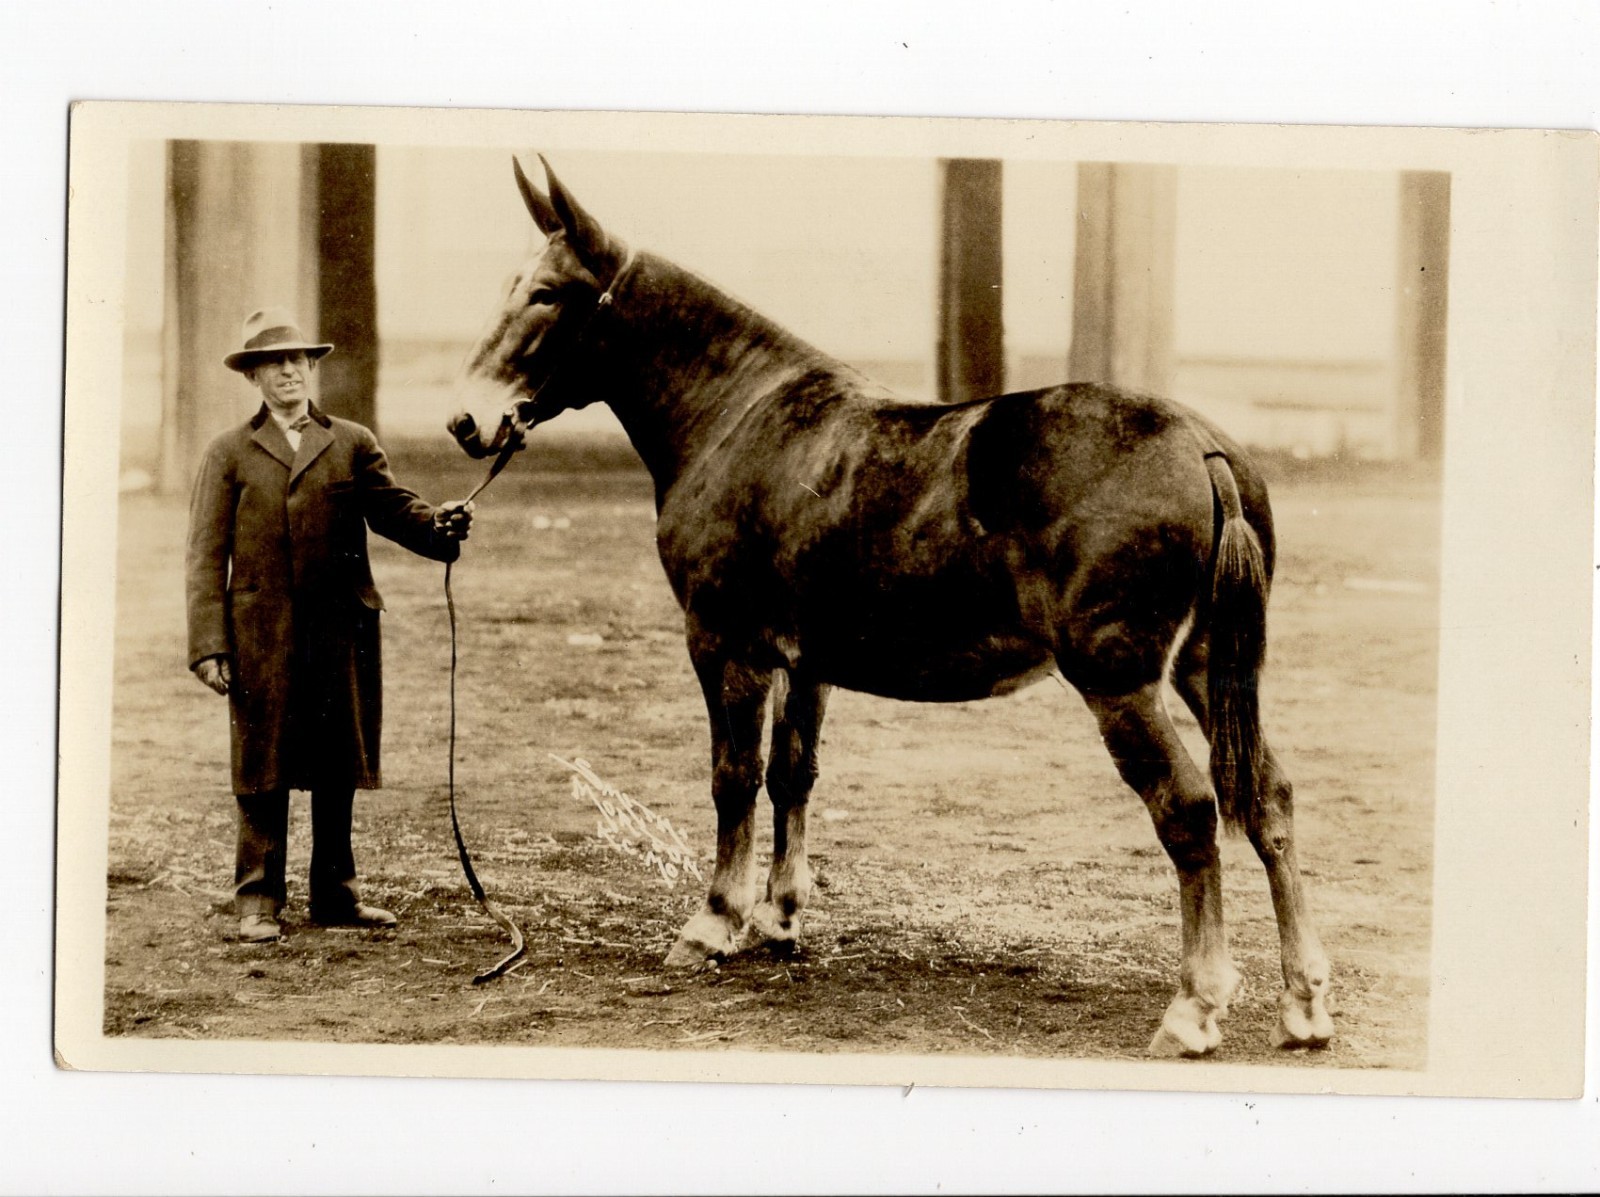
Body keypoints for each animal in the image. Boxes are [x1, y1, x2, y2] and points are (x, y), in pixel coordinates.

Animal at [449, 156, 1335, 1056]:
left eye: (547, 292)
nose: (466, 420)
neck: (739, 417)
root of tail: (1201, 446)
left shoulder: (725, 645)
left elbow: (734, 777)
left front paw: (714, 922)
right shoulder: (807, 662)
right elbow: (792, 773)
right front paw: (780, 916)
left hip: (1120, 682)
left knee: (1190, 811)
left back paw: (1193, 1007)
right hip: (1208, 669)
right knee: (1268, 799)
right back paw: (1303, 1001)